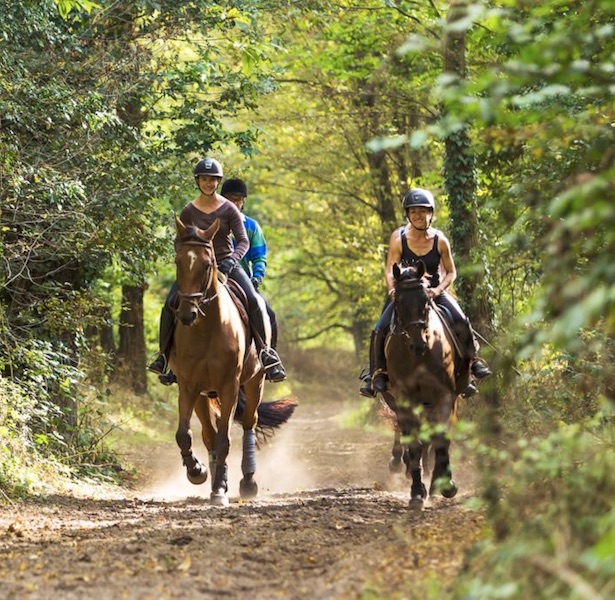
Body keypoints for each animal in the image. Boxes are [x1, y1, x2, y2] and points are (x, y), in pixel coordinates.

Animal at [168, 216, 294, 506]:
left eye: (207, 264)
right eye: (178, 261)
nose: (187, 314)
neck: (207, 329)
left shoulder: (229, 386)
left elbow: (225, 439)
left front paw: (219, 490)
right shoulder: (189, 386)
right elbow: (186, 435)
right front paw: (199, 472)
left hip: (255, 382)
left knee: (248, 424)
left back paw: (247, 482)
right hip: (204, 395)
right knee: (208, 434)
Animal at [380, 260, 462, 508]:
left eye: (426, 300)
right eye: (397, 302)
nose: (418, 345)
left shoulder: (444, 396)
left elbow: (441, 438)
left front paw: (446, 486)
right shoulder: (403, 398)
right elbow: (414, 442)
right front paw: (417, 491)